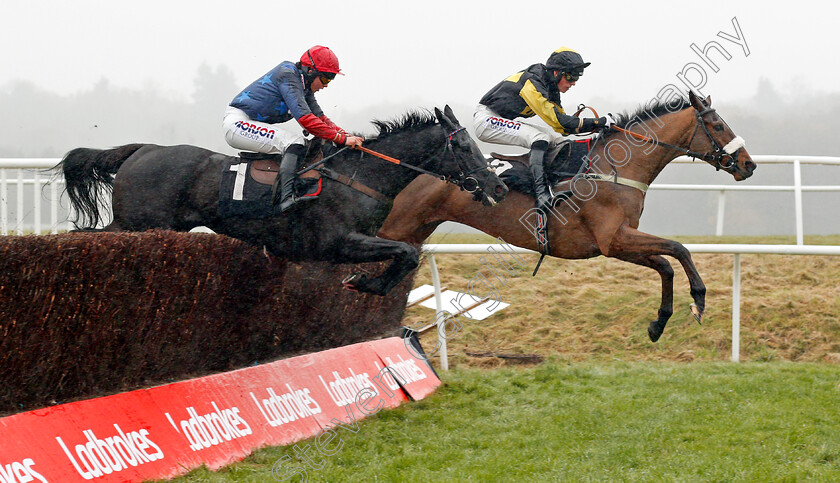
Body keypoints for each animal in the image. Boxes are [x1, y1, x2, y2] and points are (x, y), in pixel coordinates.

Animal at [60, 105, 506, 294]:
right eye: (463, 145)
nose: (498, 188)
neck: (359, 175)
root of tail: (144, 149)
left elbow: (406, 255)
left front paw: (369, 284)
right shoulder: (337, 243)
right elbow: (407, 253)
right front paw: (365, 282)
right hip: (139, 223)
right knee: (90, 238)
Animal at [378, 91, 756, 340]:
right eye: (718, 126)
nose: (748, 164)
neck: (615, 167)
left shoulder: (617, 242)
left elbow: (665, 264)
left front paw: (659, 322)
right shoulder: (613, 239)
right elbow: (678, 249)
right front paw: (699, 300)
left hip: (415, 229)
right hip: (396, 226)